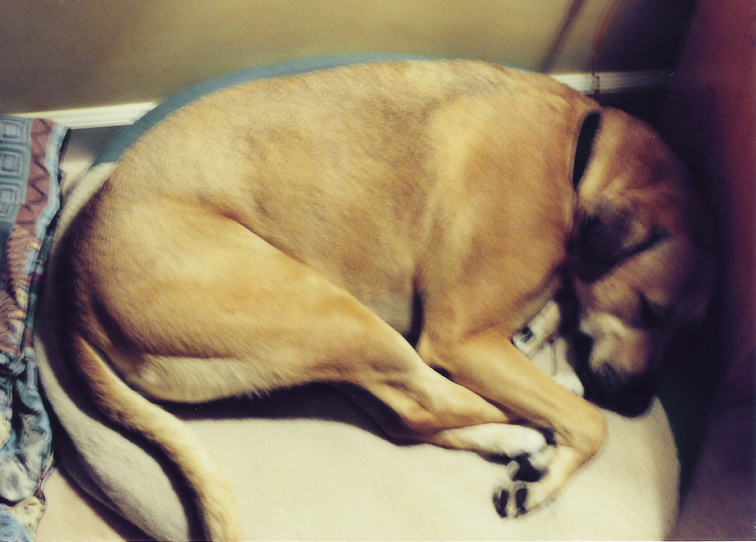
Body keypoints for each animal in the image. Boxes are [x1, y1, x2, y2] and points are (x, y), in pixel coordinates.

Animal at [56, 60, 713, 540]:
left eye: (686, 331)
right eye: (649, 309)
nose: (636, 403)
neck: (577, 156)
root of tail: (75, 290)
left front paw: (546, 327)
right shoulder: (461, 338)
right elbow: (588, 423)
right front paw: (549, 466)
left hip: (318, 348)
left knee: (401, 416)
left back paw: (517, 429)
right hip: (329, 313)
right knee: (431, 402)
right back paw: (532, 430)